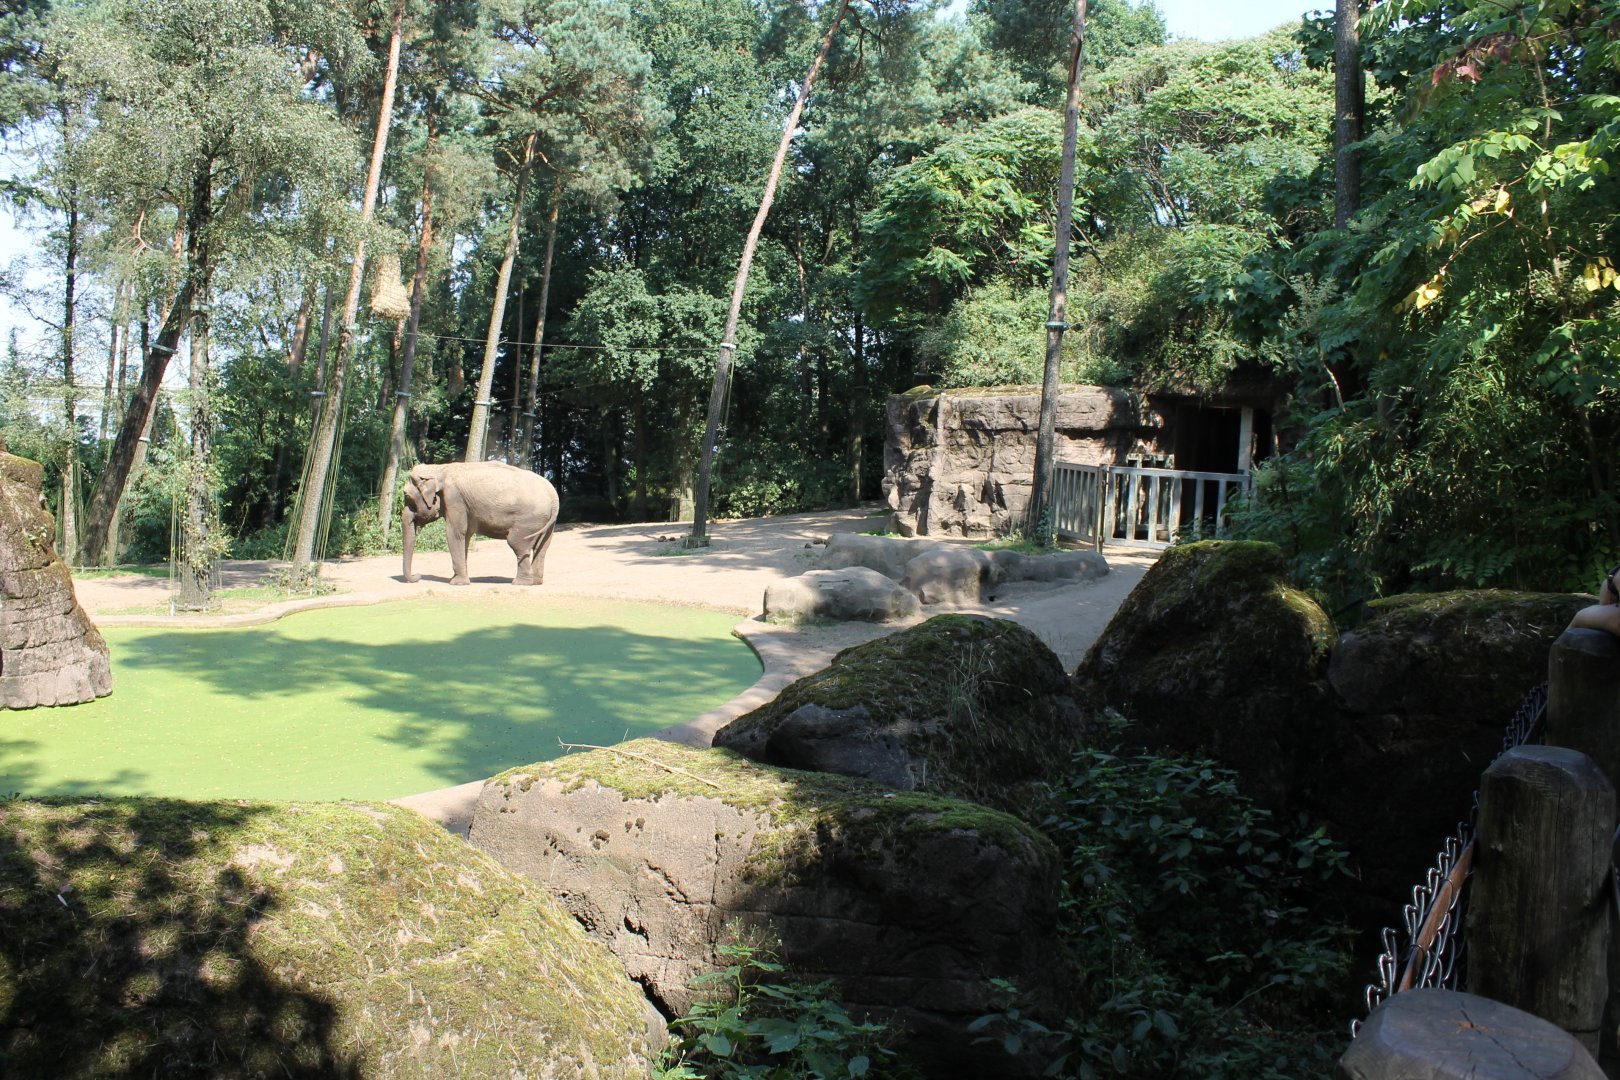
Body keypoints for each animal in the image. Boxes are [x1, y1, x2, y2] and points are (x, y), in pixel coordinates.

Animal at [402, 461, 560, 586]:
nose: (418, 576)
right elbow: (465, 535)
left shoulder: (454, 499)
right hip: (546, 522)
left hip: (528, 520)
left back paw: (520, 583)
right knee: (541, 548)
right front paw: (457, 580)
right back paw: (536, 582)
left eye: (406, 495)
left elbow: (455, 533)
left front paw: (456, 583)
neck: (439, 468)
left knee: (517, 544)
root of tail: (553, 494)